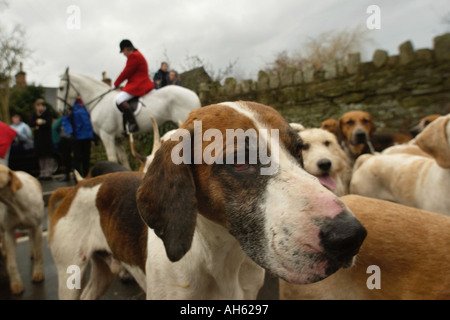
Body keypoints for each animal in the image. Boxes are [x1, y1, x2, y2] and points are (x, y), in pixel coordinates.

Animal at [57, 67, 201, 168]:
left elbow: (112, 159)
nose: (60, 110)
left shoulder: (107, 136)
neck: (99, 100)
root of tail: (193, 94)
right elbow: (123, 160)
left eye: (61, 88)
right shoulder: (117, 139)